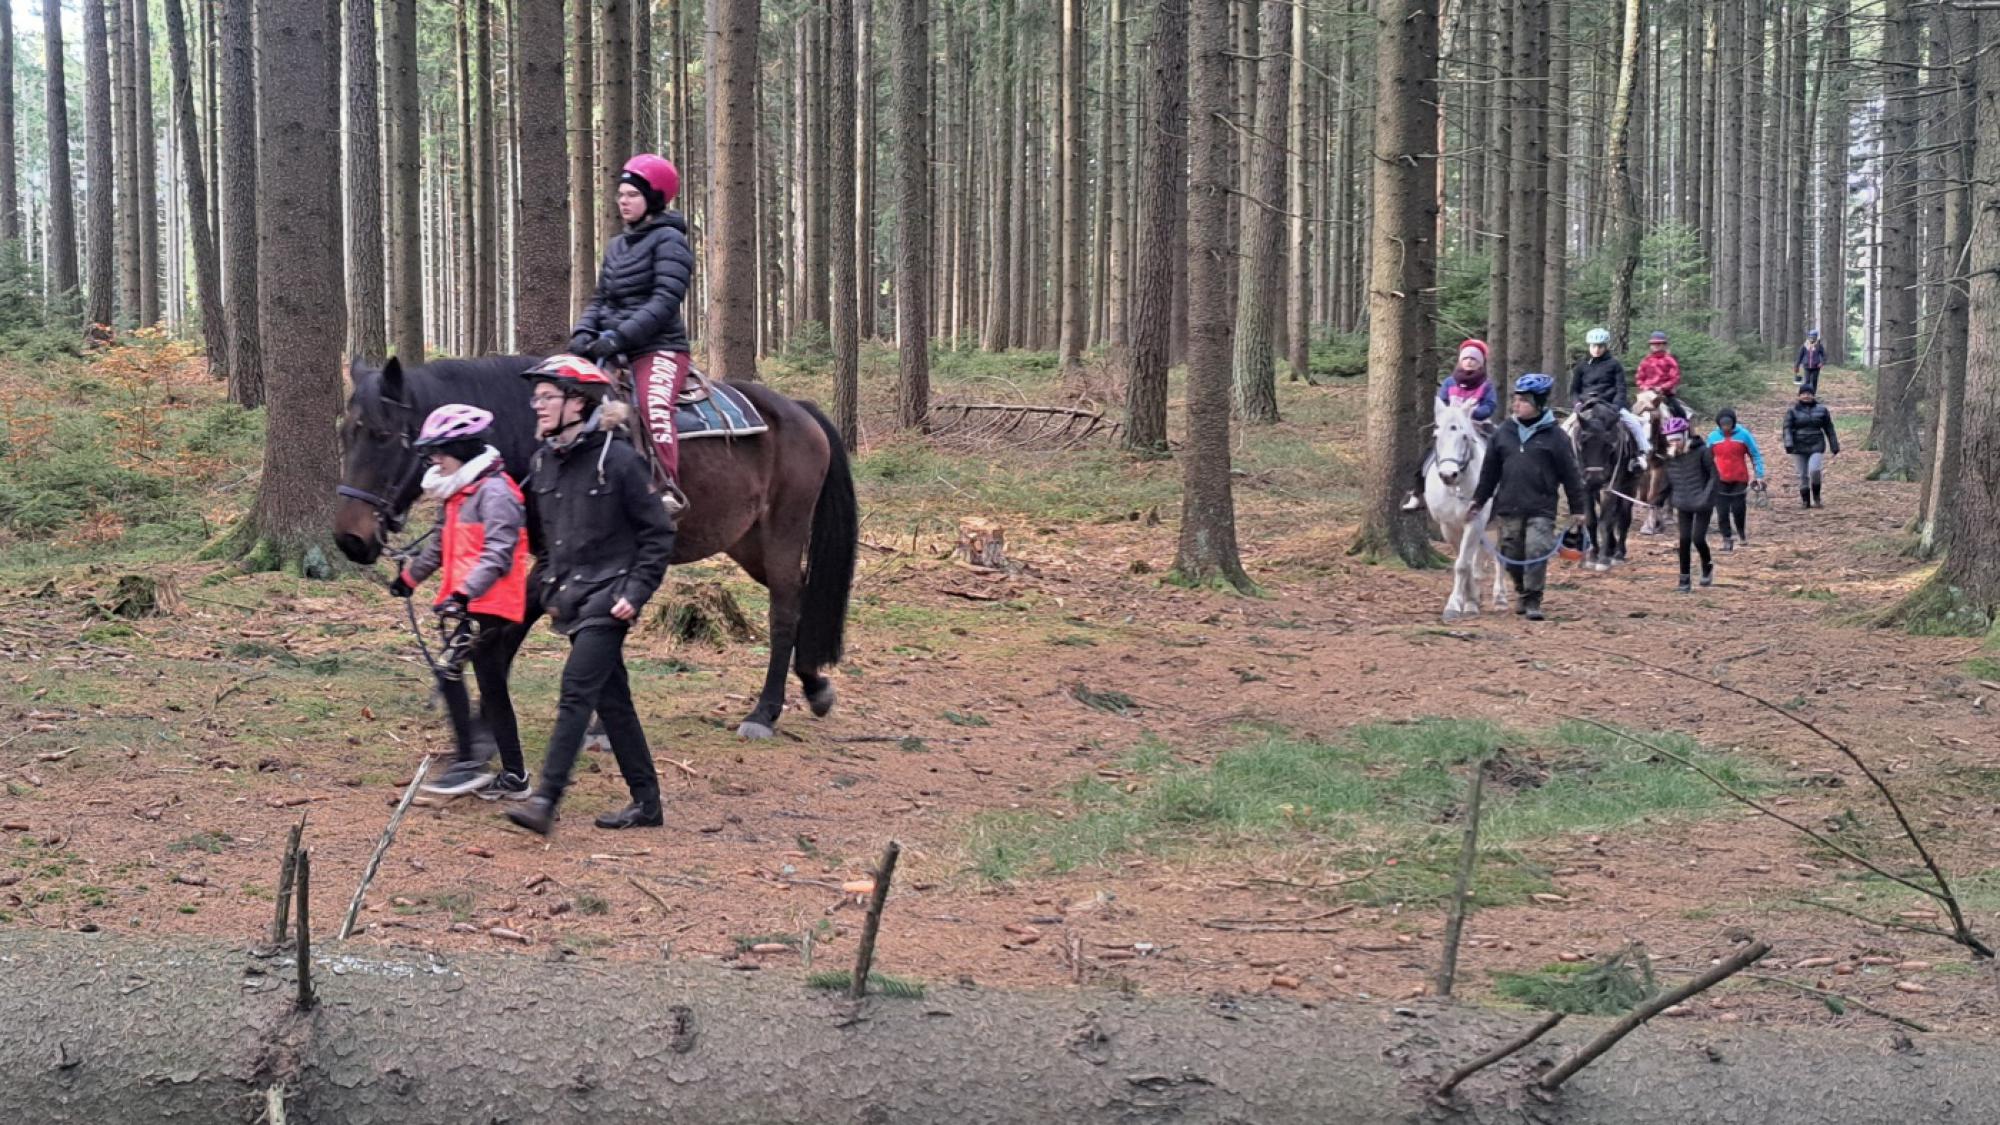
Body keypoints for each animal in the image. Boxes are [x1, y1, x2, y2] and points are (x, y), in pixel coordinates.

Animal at [333, 355, 858, 740]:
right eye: (345, 433)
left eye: (383, 435)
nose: (349, 538)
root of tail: (799, 410)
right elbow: (504, 626)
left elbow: (520, 629)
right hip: (746, 542)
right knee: (798, 593)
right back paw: (814, 685)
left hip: (784, 529)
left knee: (785, 607)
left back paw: (764, 712)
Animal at [1424, 397, 1507, 622]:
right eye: (1436, 436)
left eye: (1464, 437)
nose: (1448, 475)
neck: (1457, 488)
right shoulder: (1448, 526)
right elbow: (1465, 564)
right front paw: (1470, 601)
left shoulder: (1475, 522)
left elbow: (1462, 565)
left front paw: (1453, 605)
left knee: (1501, 557)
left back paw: (1500, 598)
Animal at [1569, 398, 1635, 570]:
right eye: (1582, 443)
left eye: (1609, 445)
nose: (1595, 478)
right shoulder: (1585, 487)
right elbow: (1591, 520)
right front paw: (1593, 555)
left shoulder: (1610, 487)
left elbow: (1606, 522)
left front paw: (1603, 560)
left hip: (1630, 485)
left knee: (1624, 517)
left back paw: (1618, 553)